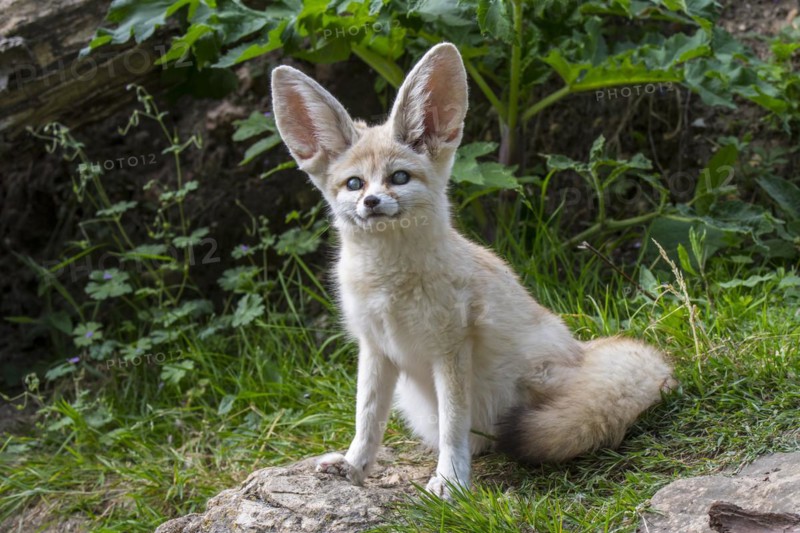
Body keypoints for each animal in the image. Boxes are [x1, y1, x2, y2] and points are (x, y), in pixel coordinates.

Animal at [270, 43, 677, 499]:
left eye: (398, 177)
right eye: (355, 184)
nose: (371, 202)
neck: (390, 287)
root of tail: (585, 351)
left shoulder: (450, 348)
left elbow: (453, 425)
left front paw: (449, 480)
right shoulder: (375, 348)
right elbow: (367, 419)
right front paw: (355, 466)